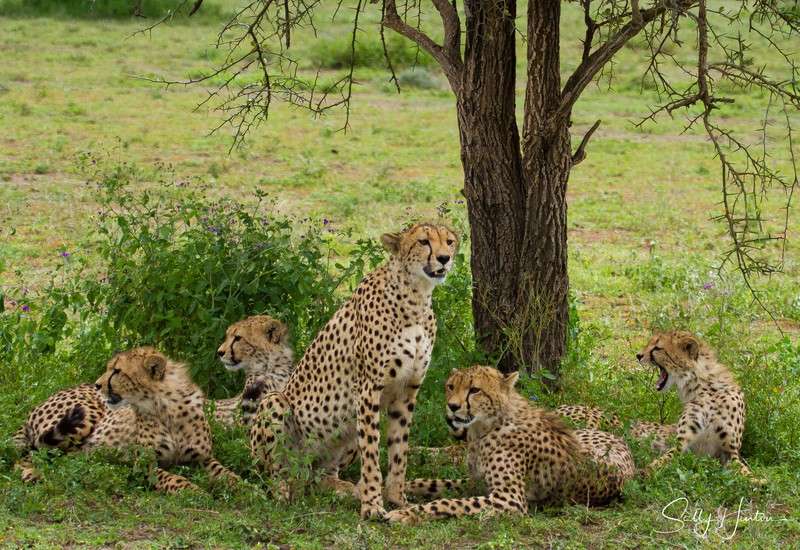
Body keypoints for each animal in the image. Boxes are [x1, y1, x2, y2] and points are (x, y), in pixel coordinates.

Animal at [249, 222, 459, 519]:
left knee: (318, 479)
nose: (444, 258)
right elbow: (372, 452)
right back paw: (284, 492)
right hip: (274, 403)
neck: (416, 297)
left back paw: (345, 488)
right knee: (275, 474)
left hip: (343, 431)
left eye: (449, 241)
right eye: (423, 242)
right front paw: (372, 505)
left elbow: (399, 450)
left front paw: (397, 499)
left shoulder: (407, 391)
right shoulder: (369, 388)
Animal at [384, 365, 636, 524]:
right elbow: (433, 483)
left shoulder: (509, 500)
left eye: (474, 390)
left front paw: (407, 514)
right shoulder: (478, 481)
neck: (484, 427)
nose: (452, 407)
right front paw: (391, 489)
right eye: (451, 386)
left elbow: (448, 503)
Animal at [636, 330, 761, 481]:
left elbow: (743, 470)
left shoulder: (729, 451)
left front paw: (759, 481)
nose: (638, 355)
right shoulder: (681, 445)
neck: (702, 389)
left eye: (657, 348)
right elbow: (663, 460)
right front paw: (642, 472)